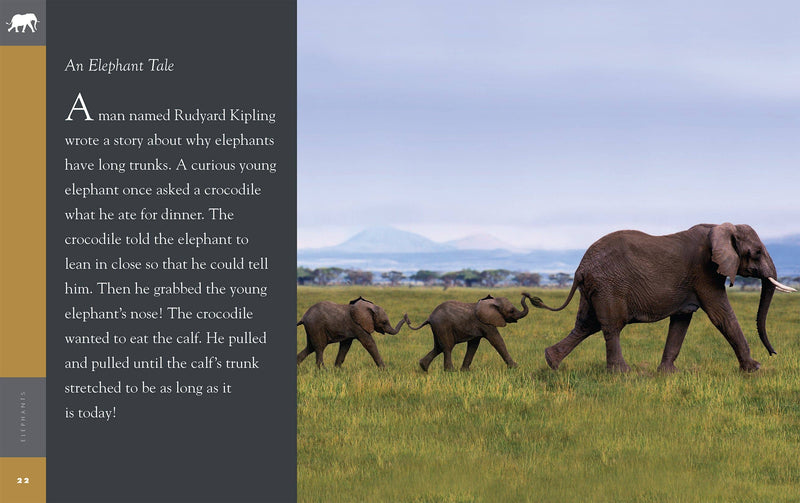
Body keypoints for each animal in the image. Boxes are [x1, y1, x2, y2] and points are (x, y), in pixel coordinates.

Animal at [534, 223, 796, 373]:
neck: (721, 226)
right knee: (611, 326)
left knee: (586, 324)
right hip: (609, 286)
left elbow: (681, 320)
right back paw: (622, 374)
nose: (773, 354)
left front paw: (669, 373)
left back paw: (551, 362)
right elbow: (722, 316)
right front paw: (754, 369)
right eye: (757, 252)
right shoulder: (705, 272)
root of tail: (580, 268)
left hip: (594, 289)